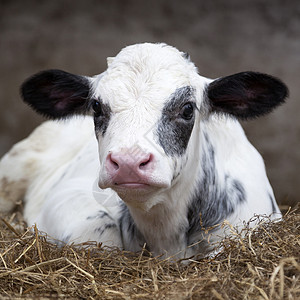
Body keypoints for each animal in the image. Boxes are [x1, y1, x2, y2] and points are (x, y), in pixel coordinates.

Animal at [0, 42, 288, 260]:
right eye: (96, 106)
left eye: (187, 108)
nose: (128, 162)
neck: (165, 235)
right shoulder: (69, 194)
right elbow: (100, 234)